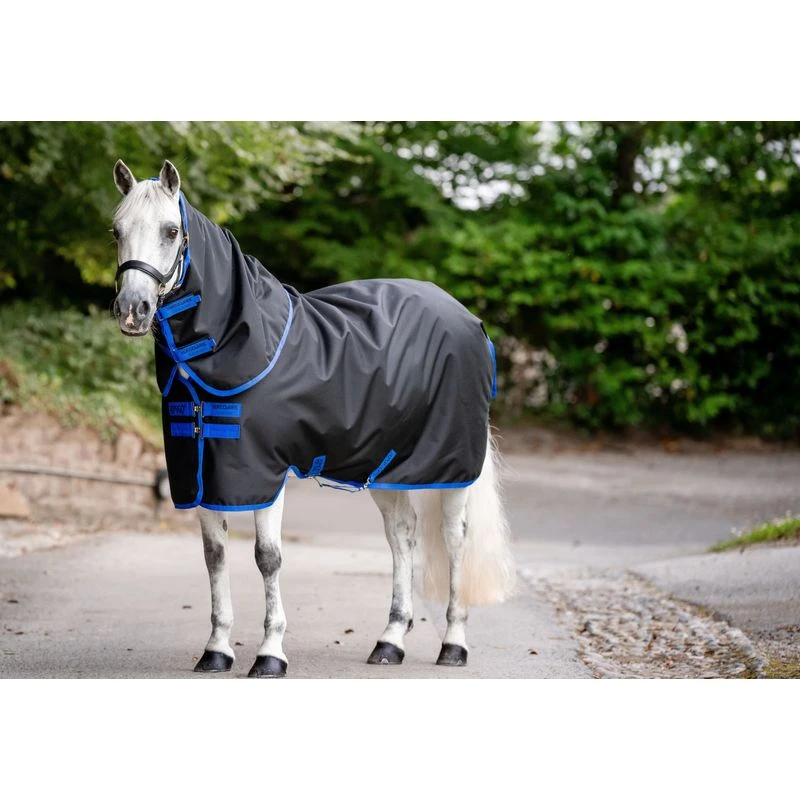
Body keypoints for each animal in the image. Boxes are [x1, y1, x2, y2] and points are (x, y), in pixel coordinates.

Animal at [110, 159, 515, 677]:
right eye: (116, 230)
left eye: (171, 230)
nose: (133, 310)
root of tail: (470, 321)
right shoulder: (201, 472)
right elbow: (214, 556)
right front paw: (217, 650)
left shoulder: (263, 472)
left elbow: (267, 557)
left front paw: (270, 654)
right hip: (384, 465)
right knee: (402, 536)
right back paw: (389, 641)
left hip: (454, 466)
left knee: (455, 539)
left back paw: (453, 644)